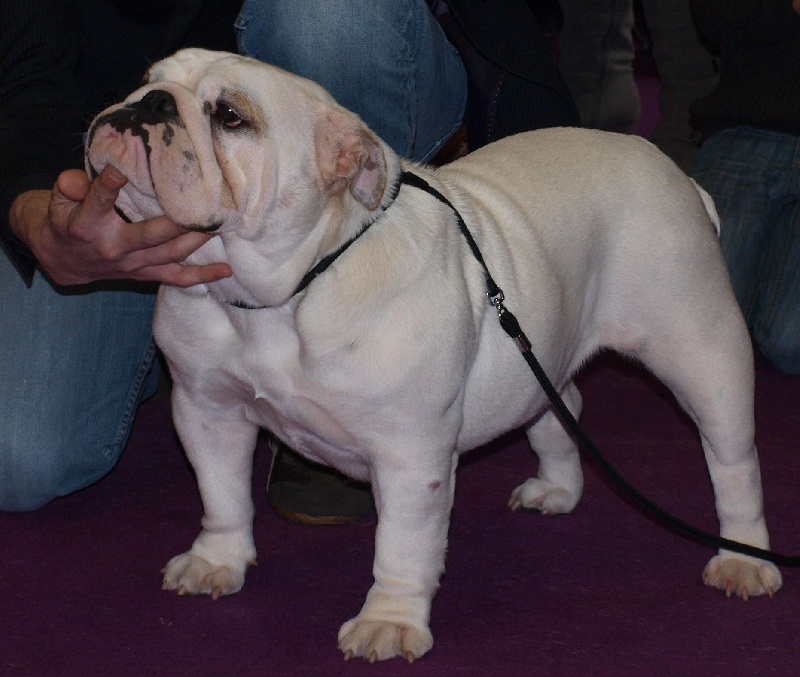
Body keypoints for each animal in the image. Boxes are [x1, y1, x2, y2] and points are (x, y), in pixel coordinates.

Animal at [86, 48, 782, 662]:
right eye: (145, 77)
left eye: (230, 116)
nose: (145, 103)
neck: (280, 293)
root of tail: (678, 177)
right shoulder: (207, 411)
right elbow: (222, 494)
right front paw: (217, 562)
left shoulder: (408, 451)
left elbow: (402, 545)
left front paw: (389, 623)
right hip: (538, 354)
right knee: (562, 404)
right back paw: (557, 489)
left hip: (701, 351)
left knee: (734, 462)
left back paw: (743, 557)